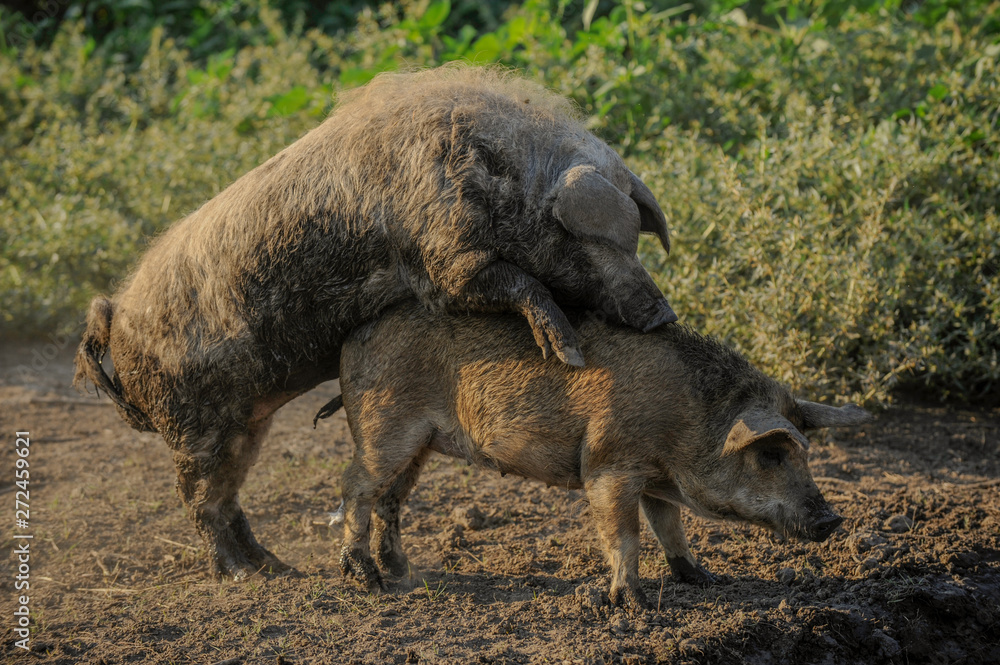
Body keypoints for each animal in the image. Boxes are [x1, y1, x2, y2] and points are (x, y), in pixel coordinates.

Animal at [73, 65, 676, 581]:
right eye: (597, 241)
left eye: (635, 241)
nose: (663, 314)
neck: (497, 175)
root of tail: (113, 318)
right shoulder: (447, 256)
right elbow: (515, 284)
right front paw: (566, 350)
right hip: (193, 427)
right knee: (200, 503)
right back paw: (242, 576)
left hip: (244, 425)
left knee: (227, 500)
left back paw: (277, 568)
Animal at [335, 303, 872, 610]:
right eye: (771, 456)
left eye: (804, 456)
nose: (832, 519)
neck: (687, 419)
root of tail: (351, 340)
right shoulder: (608, 465)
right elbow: (626, 536)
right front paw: (635, 606)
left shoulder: (658, 482)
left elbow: (671, 528)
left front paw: (707, 580)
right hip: (385, 428)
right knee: (354, 487)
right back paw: (370, 583)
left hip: (420, 445)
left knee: (390, 499)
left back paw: (401, 573)